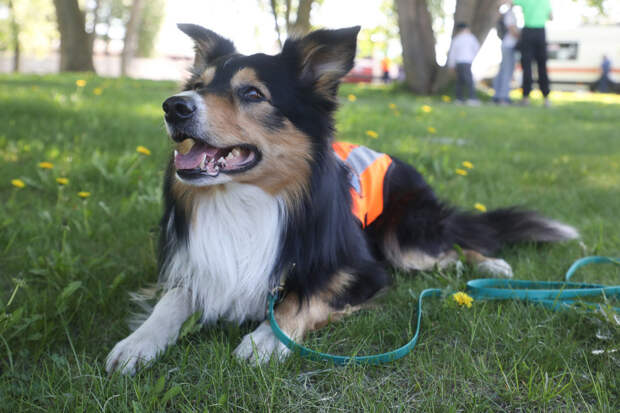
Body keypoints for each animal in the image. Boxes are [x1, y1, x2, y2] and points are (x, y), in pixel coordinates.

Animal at [105, 24, 576, 374]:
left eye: (253, 94)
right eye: (198, 86)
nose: (173, 106)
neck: (245, 201)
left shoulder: (363, 270)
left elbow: (301, 298)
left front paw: (265, 340)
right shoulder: (197, 264)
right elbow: (172, 301)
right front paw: (138, 342)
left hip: (403, 239)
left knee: (455, 246)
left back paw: (492, 265)